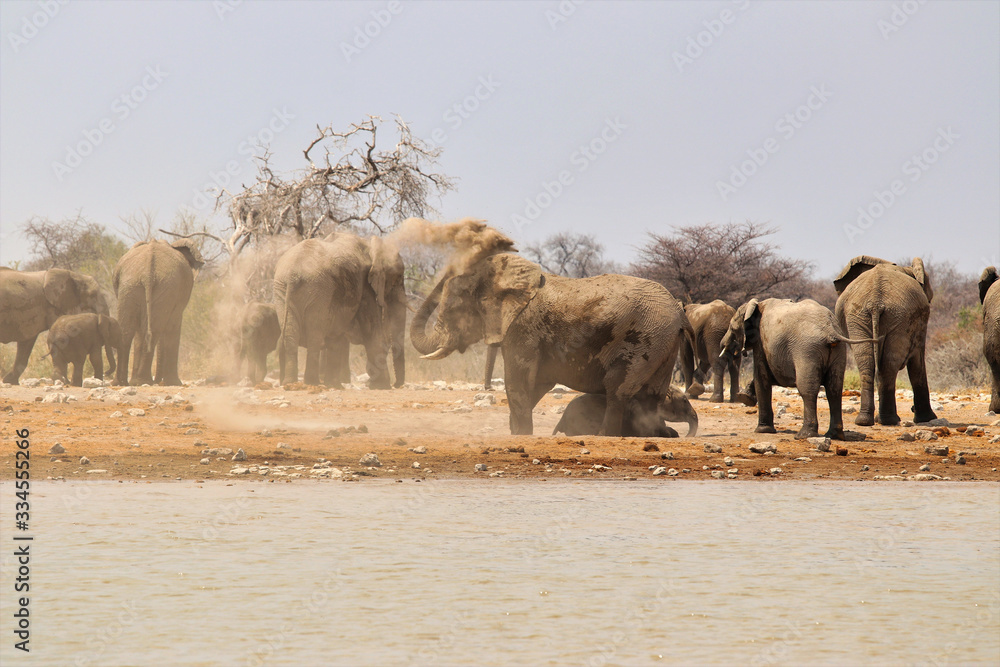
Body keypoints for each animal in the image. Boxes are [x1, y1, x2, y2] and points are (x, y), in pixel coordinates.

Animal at [113, 239, 205, 386]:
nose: (158, 380)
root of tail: (147, 273)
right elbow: (173, 325)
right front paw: (174, 383)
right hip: (153, 285)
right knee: (152, 330)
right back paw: (140, 381)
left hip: (133, 286)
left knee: (128, 330)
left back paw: (124, 382)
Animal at [273, 232, 405, 389]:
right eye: (397, 279)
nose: (396, 385)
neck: (372, 246)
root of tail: (293, 274)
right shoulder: (364, 285)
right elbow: (371, 327)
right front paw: (381, 386)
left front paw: (335, 385)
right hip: (318, 290)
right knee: (315, 335)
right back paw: (313, 383)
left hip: (282, 290)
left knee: (291, 335)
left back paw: (290, 383)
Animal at [720, 298, 879, 439]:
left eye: (732, 328)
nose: (723, 344)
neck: (756, 305)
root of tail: (830, 330)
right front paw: (745, 397)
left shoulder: (762, 342)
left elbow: (762, 378)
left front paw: (762, 431)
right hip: (839, 351)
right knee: (834, 389)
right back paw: (834, 436)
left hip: (807, 350)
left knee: (807, 390)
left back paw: (803, 435)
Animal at [833, 255, 936, 425]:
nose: (912, 409)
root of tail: (875, 302)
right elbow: (918, 362)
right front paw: (928, 419)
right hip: (899, 317)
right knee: (888, 365)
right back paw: (889, 420)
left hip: (860, 317)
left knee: (867, 364)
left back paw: (865, 421)